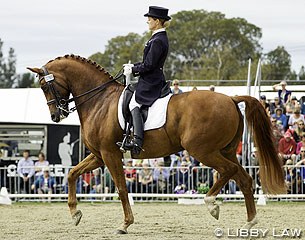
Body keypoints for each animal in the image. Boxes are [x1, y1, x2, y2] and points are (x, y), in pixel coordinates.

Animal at [26, 54, 284, 234]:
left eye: (44, 86)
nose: (56, 116)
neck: (99, 100)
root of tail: (231, 98)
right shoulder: (99, 155)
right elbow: (71, 174)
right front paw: (75, 213)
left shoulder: (110, 154)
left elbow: (121, 188)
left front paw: (125, 224)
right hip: (226, 150)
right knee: (244, 178)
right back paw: (250, 222)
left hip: (203, 150)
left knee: (229, 171)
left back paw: (212, 204)